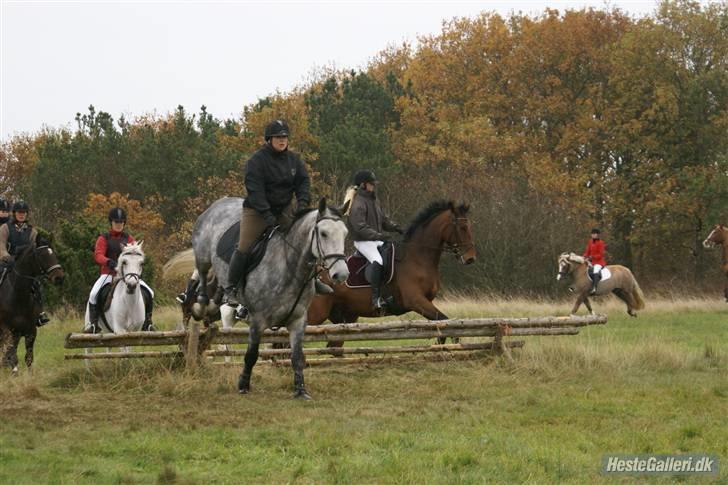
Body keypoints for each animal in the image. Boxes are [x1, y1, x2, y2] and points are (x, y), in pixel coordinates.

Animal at [0, 236, 64, 372]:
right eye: (42, 255)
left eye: (53, 253)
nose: (59, 277)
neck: (18, 296)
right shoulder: (7, 330)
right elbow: (13, 357)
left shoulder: (30, 331)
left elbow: (28, 358)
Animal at [166, 196, 348, 398]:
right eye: (323, 233)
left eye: (345, 234)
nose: (341, 274)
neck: (291, 267)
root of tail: (219, 203)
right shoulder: (257, 320)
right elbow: (250, 355)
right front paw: (243, 385)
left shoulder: (298, 320)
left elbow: (296, 357)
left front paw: (300, 390)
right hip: (204, 257)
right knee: (202, 274)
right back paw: (201, 302)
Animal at [308, 199, 478, 340]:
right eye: (462, 228)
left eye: (470, 227)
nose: (470, 258)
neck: (417, 258)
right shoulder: (417, 301)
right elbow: (445, 322)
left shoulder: (426, 302)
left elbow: (442, 326)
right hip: (316, 315)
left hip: (346, 318)